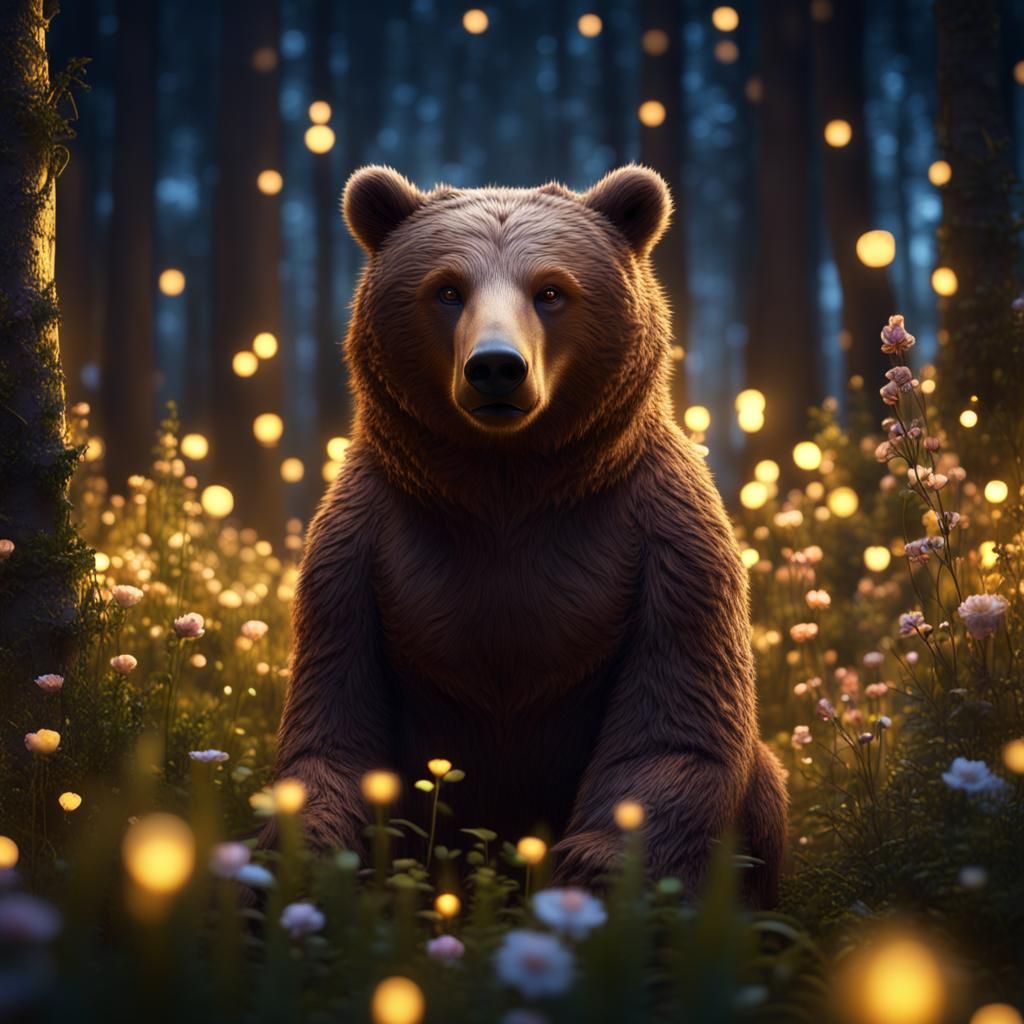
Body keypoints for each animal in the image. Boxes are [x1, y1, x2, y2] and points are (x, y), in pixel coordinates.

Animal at [271, 164, 788, 906]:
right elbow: (330, 732)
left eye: (551, 290)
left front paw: (591, 885)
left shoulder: (666, 542)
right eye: (447, 289)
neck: (507, 486)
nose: (495, 367)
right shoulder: (358, 553)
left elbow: (674, 732)